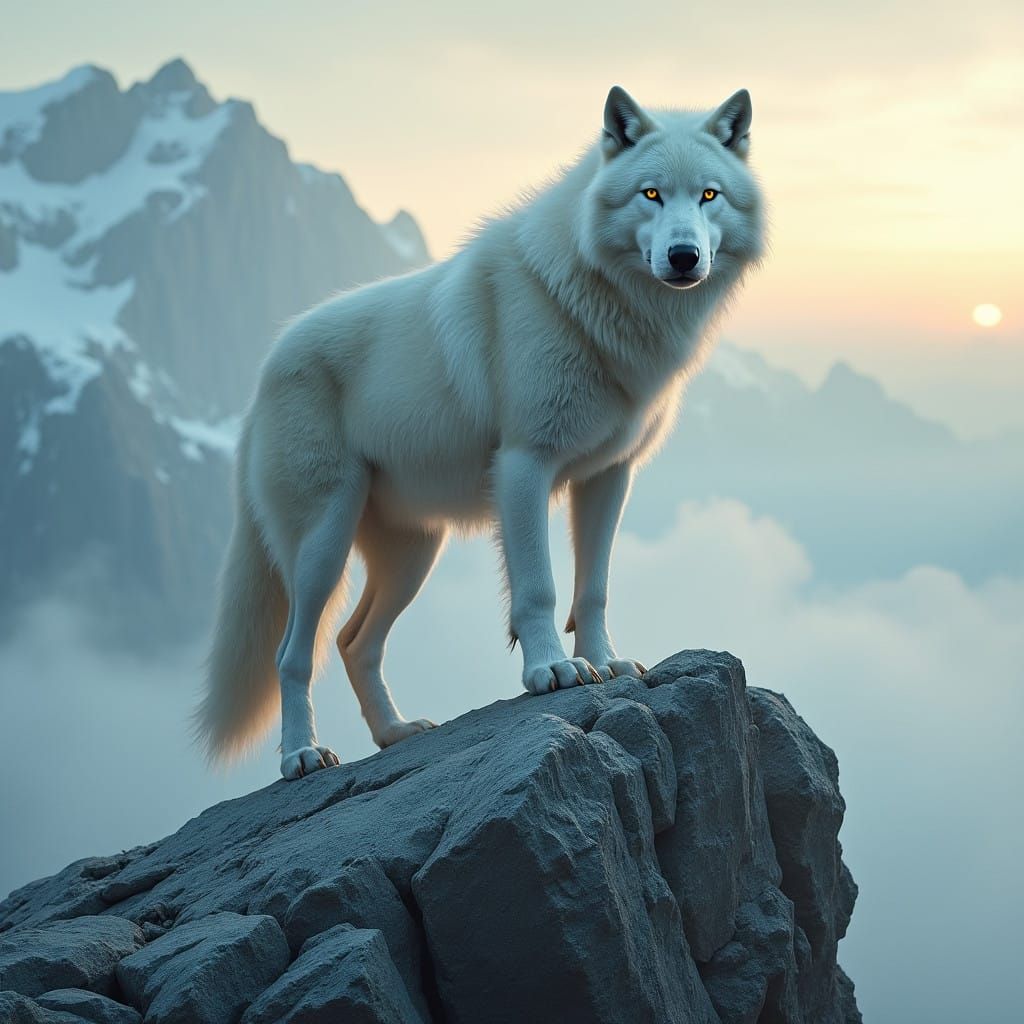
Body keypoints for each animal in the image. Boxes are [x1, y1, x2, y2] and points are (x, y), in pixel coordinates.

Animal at [195, 86, 765, 779]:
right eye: (651, 194)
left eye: (709, 195)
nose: (684, 257)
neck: (592, 301)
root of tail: (262, 375)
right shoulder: (524, 465)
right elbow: (540, 587)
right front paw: (553, 671)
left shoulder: (608, 478)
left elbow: (594, 588)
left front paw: (607, 661)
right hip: (321, 549)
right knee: (294, 654)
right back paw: (302, 755)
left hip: (414, 554)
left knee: (354, 642)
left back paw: (396, 734)